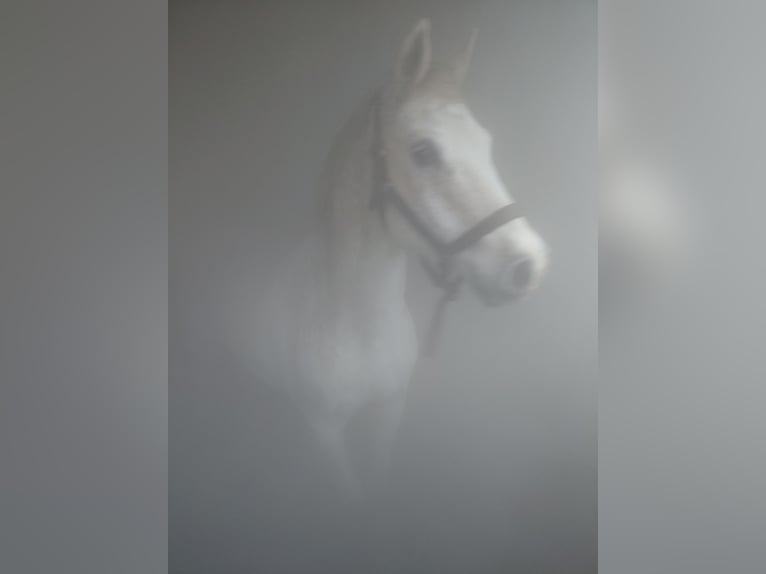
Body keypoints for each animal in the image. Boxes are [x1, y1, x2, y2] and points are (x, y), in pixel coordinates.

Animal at [248, 20, 549, 500]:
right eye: (423, 151)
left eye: (486, 144)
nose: (528, 265)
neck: (355, 325)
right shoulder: (323, 433)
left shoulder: (390, 410)